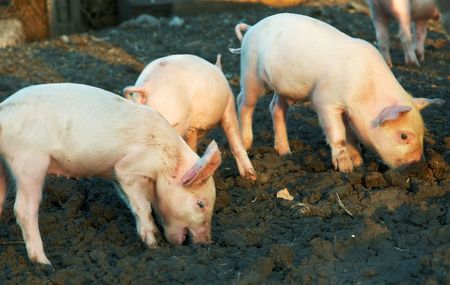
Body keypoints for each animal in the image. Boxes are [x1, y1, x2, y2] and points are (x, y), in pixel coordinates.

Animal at [0, 83, 220, 266]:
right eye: (201, 204)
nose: (207, 243)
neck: (167, 162)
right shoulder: (128, 168)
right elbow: (143, 206)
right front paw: (153, 246)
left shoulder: (116, 177)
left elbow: (133, 204)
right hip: (30, 162)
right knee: (23, 209)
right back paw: (44, 263)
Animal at [230, 13, 444, 172]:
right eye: (403, 136)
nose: (417, 164)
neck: (364, 89)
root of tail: (252, 28)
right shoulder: (325, 102)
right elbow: (338, 134)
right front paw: (346, 169)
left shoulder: (349, 113)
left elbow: (352, 137)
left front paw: (358, 163)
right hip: (250, 73)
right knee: (244, 102)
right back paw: (247, 143)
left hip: (283, 86)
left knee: (275, 108)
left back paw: (285, 153)